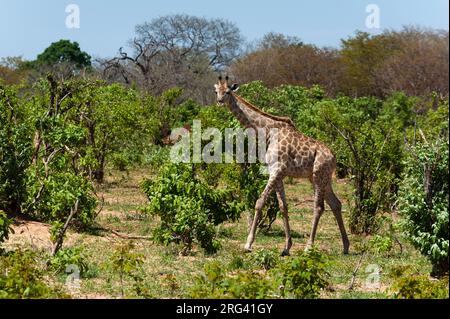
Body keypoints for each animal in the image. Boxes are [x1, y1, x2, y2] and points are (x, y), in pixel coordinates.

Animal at [215, 76, 352, 256]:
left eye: (228, 92)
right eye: (216, 91)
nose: (219, 101)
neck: (267, 131)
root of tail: (334, 157)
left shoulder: (276, 170)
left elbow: (260, 202)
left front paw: (248, 244)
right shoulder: (278, 174)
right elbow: (283, 206)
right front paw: (287, 247)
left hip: (318, 175)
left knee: (319, 207)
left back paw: (309, 247)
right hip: (323, 178)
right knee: (336, 204)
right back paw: (345, 246)